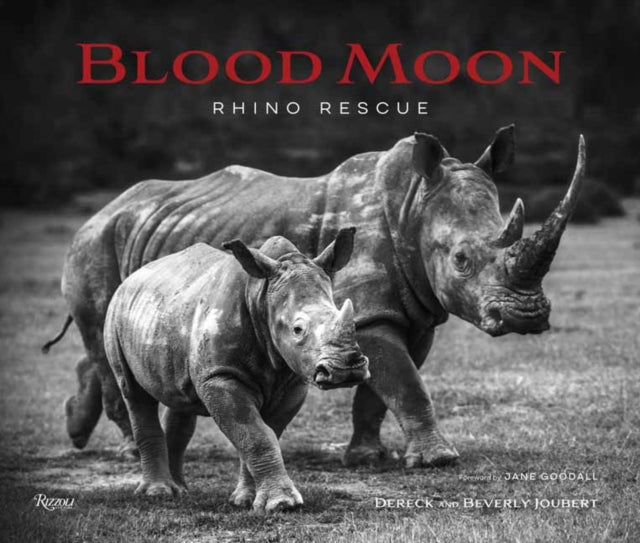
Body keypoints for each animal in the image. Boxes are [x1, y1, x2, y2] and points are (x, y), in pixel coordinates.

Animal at [45, 125, 585, 468]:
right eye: (461, 260)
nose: (529, 315)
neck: (412, 205)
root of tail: (103, 209)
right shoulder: (369, 314)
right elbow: (406, 383)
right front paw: (438, 460)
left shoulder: (415, 313)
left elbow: (381, 388)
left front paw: (368, 458)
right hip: (93, 243)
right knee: (103, 341)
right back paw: (129, 453)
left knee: (105, 347)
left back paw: (77, 430)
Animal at [104, 229, 370, 511]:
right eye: (298, 330)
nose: (347, 370)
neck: (261, 296)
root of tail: (132, 277)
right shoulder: (220, 376)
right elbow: (256, 435)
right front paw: (282, 504)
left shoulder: (293, 381)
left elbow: (264, 433)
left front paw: (246, 500)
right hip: (115, 311)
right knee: (133, 393)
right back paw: (158, 493)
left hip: (165, 313)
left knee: (179, 399)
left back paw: (180, 490)